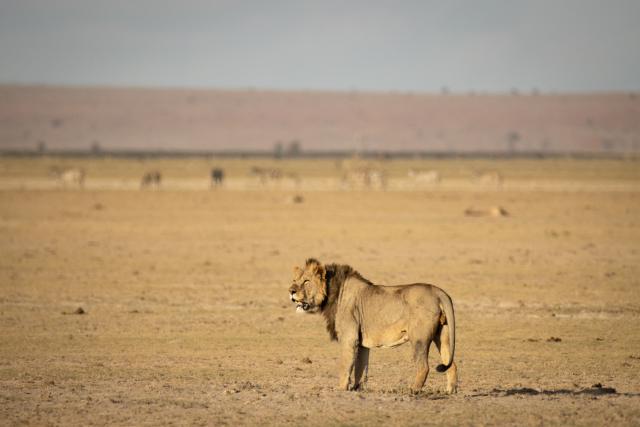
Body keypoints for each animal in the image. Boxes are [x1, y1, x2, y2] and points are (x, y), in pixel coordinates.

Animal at [288, 258, 457, 394]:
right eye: (294, 280)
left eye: (306, 281)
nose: (291, 291)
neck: (332, 293)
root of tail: (438, 291)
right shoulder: (362, 343)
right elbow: (360, 368)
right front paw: (357, 388)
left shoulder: (349, 338)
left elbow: (345, 365)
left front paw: (341, 389)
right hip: (442, 335)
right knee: (451, 363)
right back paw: (450, 391)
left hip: (419, 339)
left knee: (423, 366)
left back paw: (413, 390)